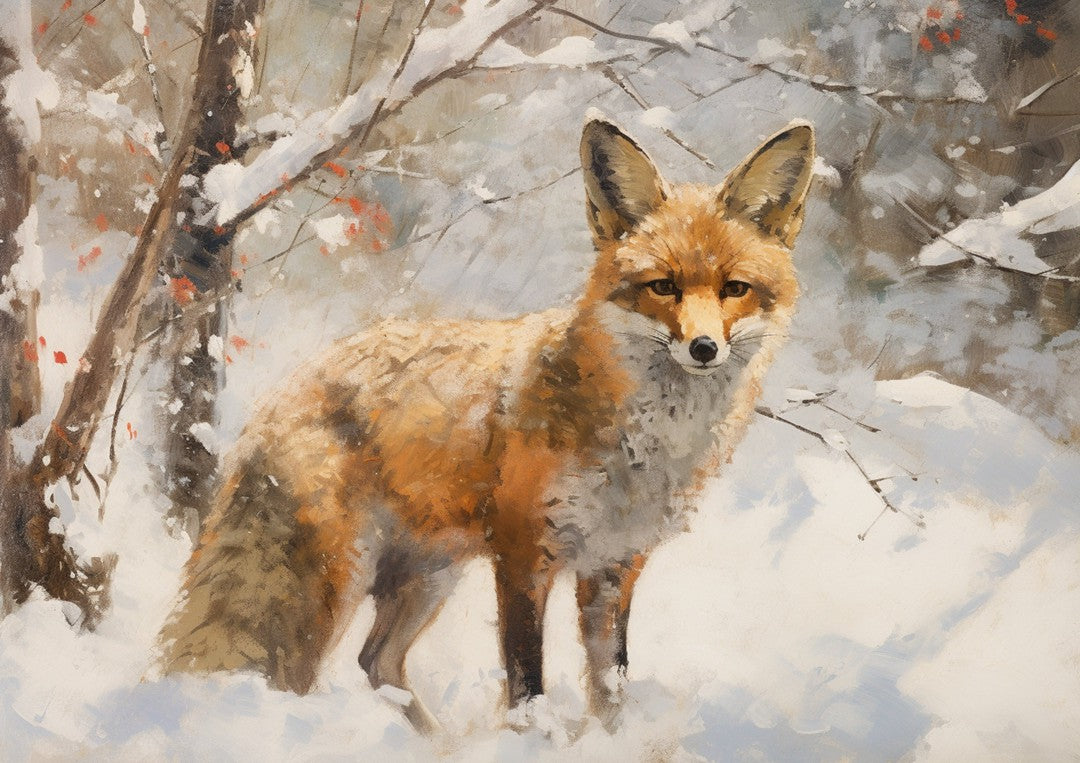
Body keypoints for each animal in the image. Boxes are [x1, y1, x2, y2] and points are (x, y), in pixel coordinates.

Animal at [158, 115, 815, 733]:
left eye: (735, 289)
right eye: (662, 287)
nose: (704, 348)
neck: (644, 447)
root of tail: (281, 393)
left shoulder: (614, 566)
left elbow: (612, 687)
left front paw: (610, 741)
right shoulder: (525, 554)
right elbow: (527, 684)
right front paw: (535, 742)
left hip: (427, 577)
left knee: (376, 662)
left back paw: (438, 744)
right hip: (334, 580)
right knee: (297, 676)